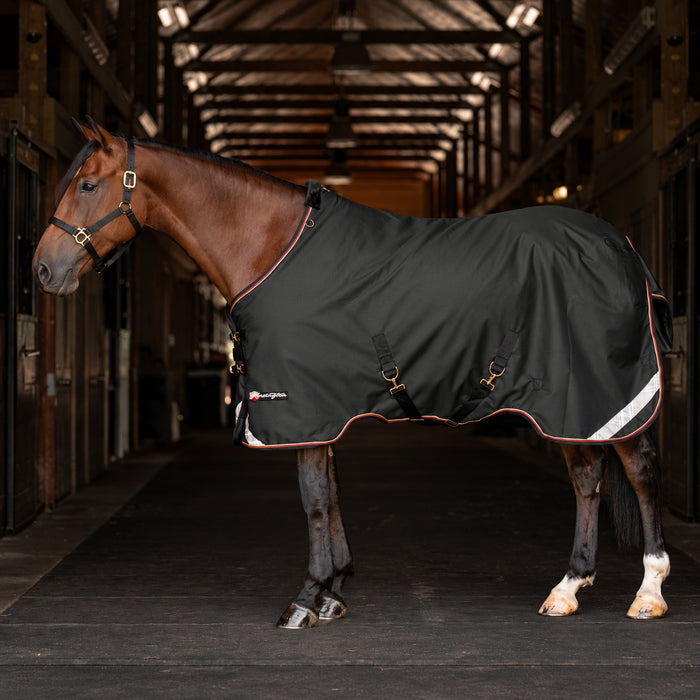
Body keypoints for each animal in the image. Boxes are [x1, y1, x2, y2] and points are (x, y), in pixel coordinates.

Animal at [33, 119, 671, 629]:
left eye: (88, 185)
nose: (42, 270)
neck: (273, 248)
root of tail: (622, 244)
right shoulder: (324, 411)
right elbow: (333, 496)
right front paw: (334, 593)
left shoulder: (303, 408)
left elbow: (314, 501)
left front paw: (306, 600)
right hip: (568, 403)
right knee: (587, 478)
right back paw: (567, 589)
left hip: (604, 395)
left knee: (639, 473)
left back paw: (648, 592)